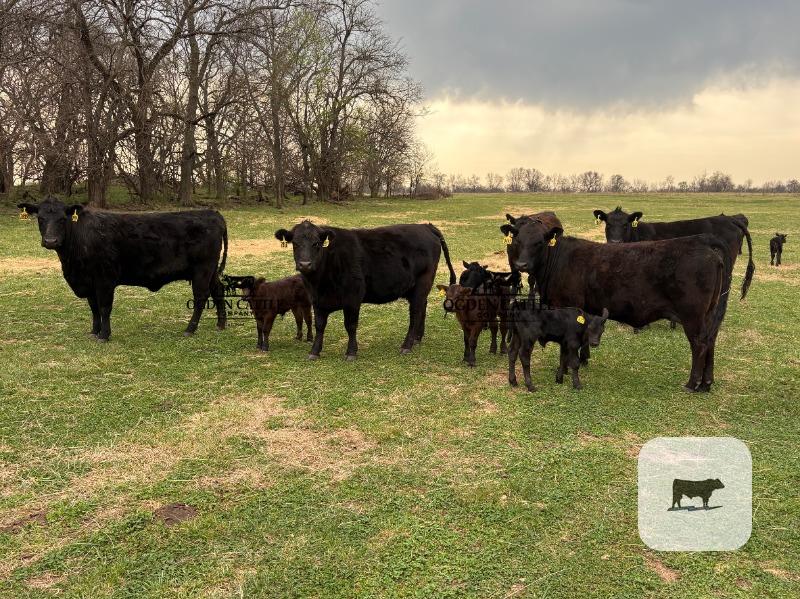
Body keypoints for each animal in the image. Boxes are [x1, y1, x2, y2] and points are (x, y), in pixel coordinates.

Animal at [17, 196, 227, 341]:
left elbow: (104, 307)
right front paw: (94, 331)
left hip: (202, 270)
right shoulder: (89, 282)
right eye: (40, 218)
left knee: (201, 297)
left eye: (63, 219)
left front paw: (104, 335)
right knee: (218, 290)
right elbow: (93, 308)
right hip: (211, 271)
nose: (50, 241)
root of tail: (213, 213)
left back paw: (190, 329)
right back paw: (221, 324)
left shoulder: (104, 279)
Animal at [273, 220, 456, 360]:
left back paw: (407, 345)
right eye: (295, 244)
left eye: (316, 243)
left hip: (422, 283)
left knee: (416, 312)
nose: (305, 264)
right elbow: (320, 325)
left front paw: (351, 352)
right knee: (422, 307)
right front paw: (314, 352)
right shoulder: (317, 300)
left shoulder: (353, 297)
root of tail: (425, 226)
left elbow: (350, 325)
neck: (320, 282)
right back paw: (418, 338)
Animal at [501, 217, 753, 392]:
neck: (558, 260)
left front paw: (564, 371)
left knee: (700, 343)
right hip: (709, 313)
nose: (521, 264)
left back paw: (692, 384)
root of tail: (703, 241)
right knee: (711, 340)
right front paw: (583, 360)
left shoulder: (567, 307)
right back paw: (706, 383)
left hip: (693, 316)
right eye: (518, 240)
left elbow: (566, 350)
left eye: (539, 242)